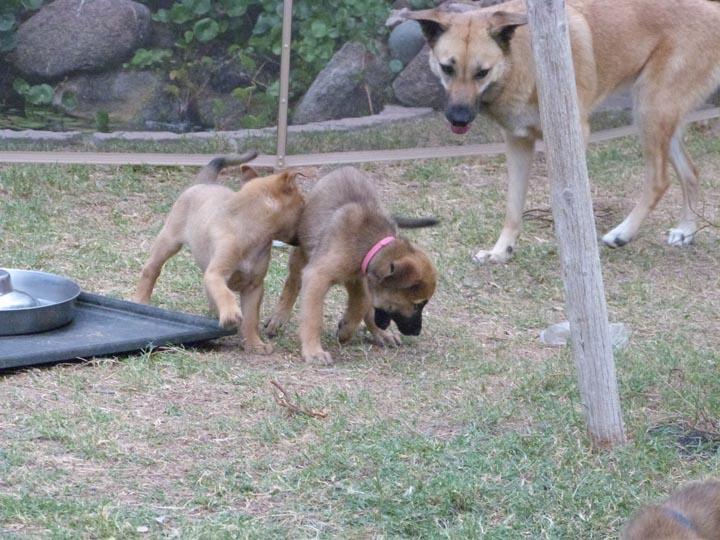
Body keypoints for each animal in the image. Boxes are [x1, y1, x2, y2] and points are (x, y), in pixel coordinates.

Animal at [133, 152, 304, 354]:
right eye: (303, 205)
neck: (248, 232)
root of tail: (204, 182)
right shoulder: (216, 274)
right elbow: (224, 293)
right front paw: (230, 313)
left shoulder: (254, 286)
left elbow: (251, 319)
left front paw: (254, 344)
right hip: (168, 241)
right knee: (151, 270)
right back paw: (141, 300)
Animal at [262, 167, 436, 364]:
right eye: (417, 304)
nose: (417, 332)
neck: (371, 245)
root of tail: (345, 168)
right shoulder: (318, 275)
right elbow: (313, 317)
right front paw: (314, 351)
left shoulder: (359, 278)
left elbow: (362, 303)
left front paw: (347, 328)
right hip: (302, 253)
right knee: (292, 282)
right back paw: (278, 318)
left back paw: (379, 332)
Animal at [390, 0, 720, 264]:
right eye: (447, 68)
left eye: (481, 72)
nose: (458, 118)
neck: (522, 62)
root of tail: (710, 7)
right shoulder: (518, 143)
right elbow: (513, 207)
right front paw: (501, 251)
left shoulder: (573, 137)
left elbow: (565, 200)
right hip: (661, 119)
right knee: (691, 172)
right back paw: (686, 230)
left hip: (650, 111)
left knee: (659, 180)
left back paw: (622, 233)